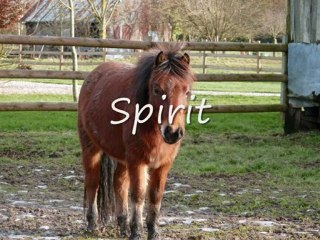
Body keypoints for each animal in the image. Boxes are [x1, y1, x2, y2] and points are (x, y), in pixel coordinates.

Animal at [78, 44, 195, 239]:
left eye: (187, 92)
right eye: (156, 89)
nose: (172, 132)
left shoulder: (163, 164)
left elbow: (155, 196)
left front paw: (153, 232)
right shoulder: (137, 161)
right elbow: (138, 195)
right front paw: (136, 232)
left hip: (122, 158)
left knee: (118, 183)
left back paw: (123, 226)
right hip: (91, 148)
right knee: (92, 183)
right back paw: (92, 223)